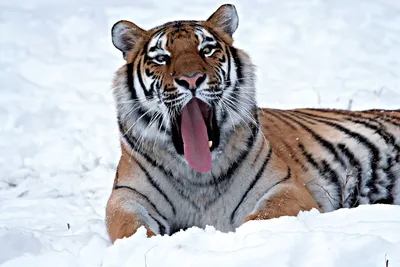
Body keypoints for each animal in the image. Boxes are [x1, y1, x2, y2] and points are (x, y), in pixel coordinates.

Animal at [106, 3, 400, 243]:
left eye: (207, 50)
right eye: (161, 58)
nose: (191, 79)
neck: (198, 177)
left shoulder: (285, 188)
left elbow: (262, 217)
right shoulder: (127, 196)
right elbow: (130, 227)